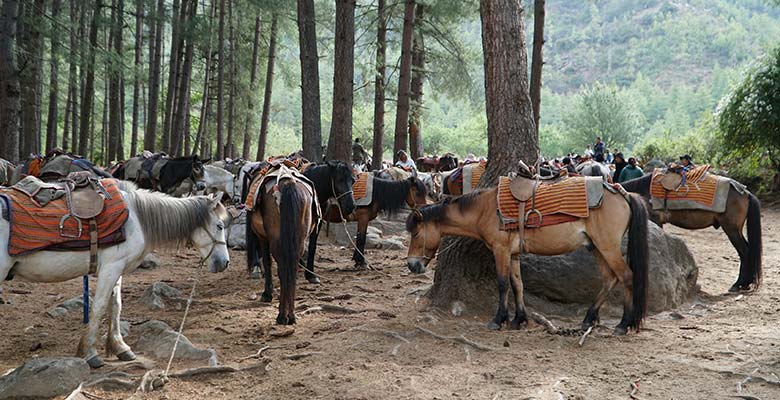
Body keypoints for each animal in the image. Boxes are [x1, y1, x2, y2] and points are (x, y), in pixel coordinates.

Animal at [0, 181, 232, 368]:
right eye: (219, 226)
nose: (225, 263)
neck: (136, 218)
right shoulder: (111, 269)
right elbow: (99, 307)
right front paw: (91, 354)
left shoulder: (116, 270)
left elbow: (116, 306)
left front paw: (120, 347)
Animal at [406, 183, 648, 336]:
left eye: (415, 233)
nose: (411, 264)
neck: (485, 209)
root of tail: (623, 194)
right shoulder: (513, 254)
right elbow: (518, 285)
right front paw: (518, 319)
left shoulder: (501, 251)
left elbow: (503, 284)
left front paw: (499, 320)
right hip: (596, 248)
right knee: (609, 279)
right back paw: (589, 318)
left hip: (608, 247)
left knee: (626, 276)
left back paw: (624, 324)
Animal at [620, 173, 760, 292]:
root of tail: (746, 193)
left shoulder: (655, 220)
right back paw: (745, 283)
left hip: (732, 230)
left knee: (744, 251)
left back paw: (739, 284)